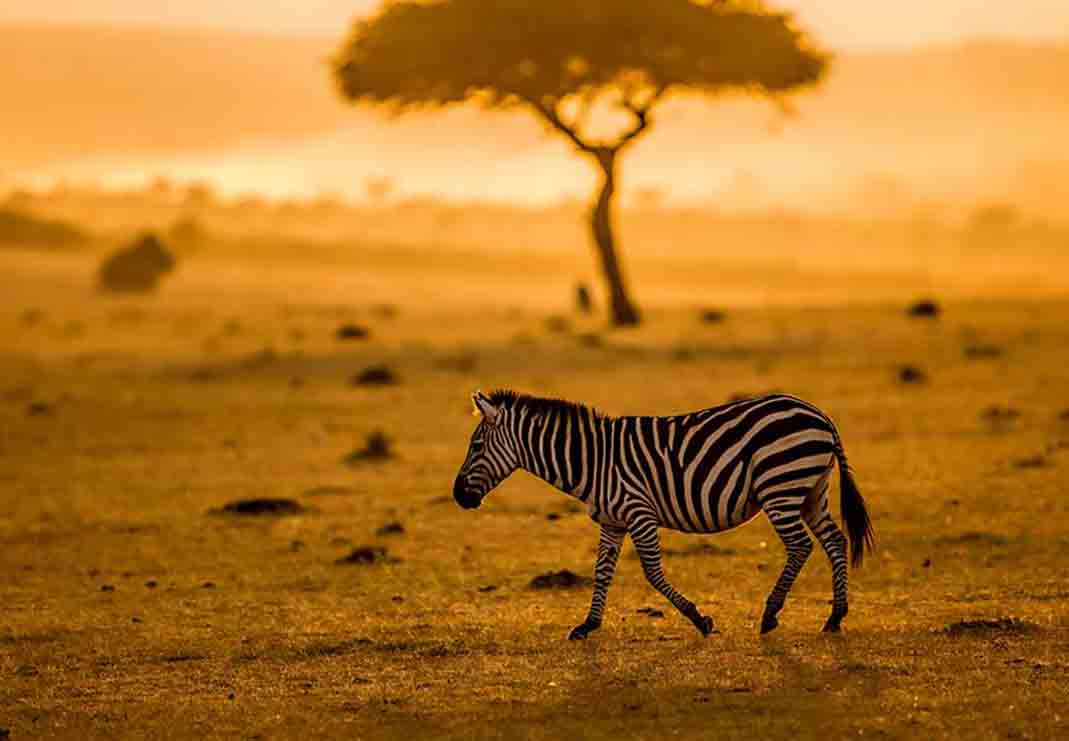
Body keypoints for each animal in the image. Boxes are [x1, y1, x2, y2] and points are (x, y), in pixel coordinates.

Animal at [453, 389, 874, 639]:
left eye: (476, 446)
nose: (458, 496)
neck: (594, 462)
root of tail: (819, 415)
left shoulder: (639, 512)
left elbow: (653, 572)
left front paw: (699, 618)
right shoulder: (613, 520)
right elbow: (602, 571)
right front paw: (588, 624)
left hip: (781, 487)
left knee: (801, 547)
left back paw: (771, 615)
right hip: (811, 491)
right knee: (835, 541)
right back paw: (835, 617)